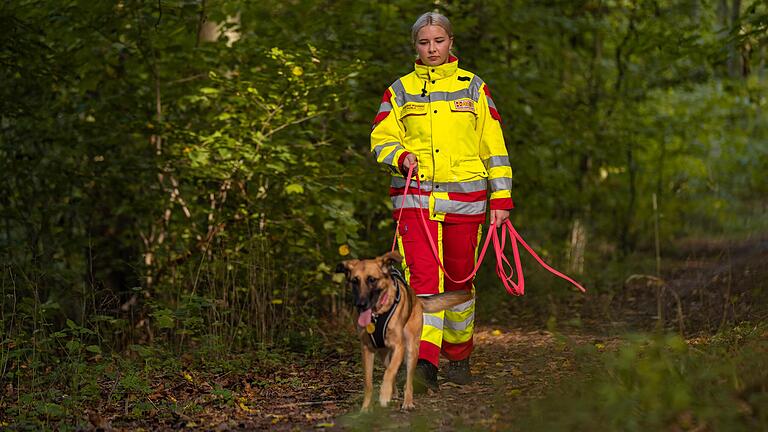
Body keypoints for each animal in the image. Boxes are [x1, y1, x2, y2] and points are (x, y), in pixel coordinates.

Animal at [338, 250, 474, 412]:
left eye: (372, 280)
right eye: (354, 281)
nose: (360, 304)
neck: (377, 315)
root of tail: (416, 298)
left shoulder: (399, 346)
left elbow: (390, 372)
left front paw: (384, 394)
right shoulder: (367, 350)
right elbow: (369, 383)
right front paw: (366, 408)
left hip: (411, 349)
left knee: (408, 380)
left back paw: (407, 401)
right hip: (384, 353)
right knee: (390, 368)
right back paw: (394, 393)